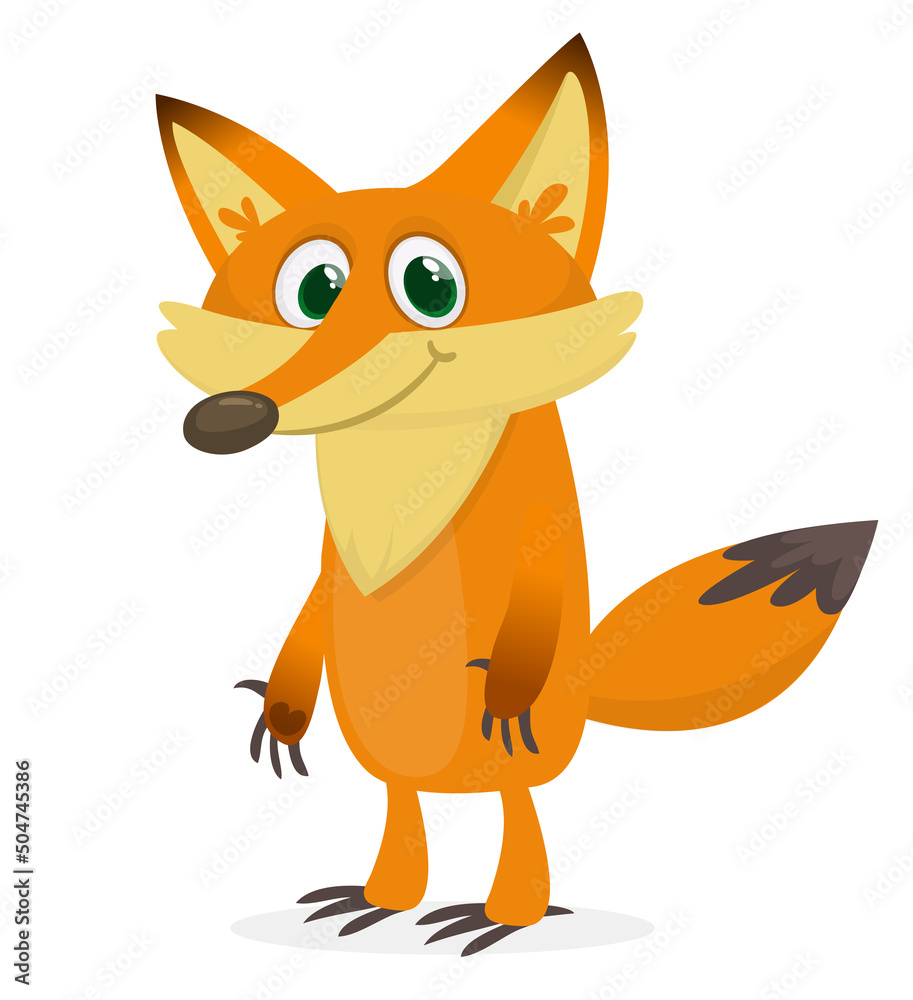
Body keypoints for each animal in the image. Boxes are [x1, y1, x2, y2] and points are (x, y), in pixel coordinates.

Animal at [155, 35, 876, 955]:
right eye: (312, 292)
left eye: (430, 286)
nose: (225, 419)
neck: (401, 483)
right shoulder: (328, 558)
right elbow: (311, 610)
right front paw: (283, 711)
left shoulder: (533, 539)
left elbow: (534, 605)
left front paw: (503, 689)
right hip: (383, 754)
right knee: (401, 804)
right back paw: (378, 899)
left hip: (522, 756)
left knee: (515, 808)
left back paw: (498, 916)